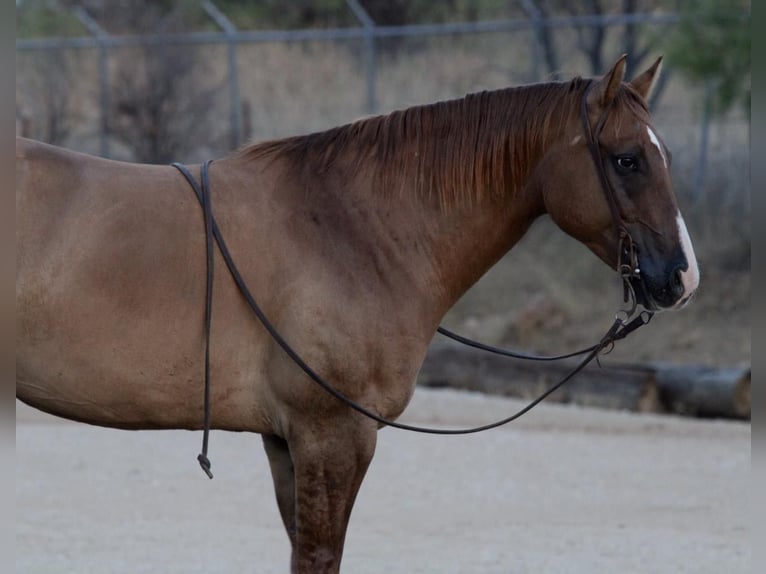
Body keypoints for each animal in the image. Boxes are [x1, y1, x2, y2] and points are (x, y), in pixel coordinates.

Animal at [18, 55, 704, 574]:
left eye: (664, 154)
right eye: (627, 159)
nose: (682, 276)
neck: (350, 228)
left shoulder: (289, 442)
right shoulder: (333, 436)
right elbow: (320, 557)